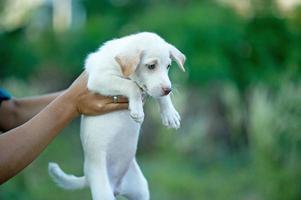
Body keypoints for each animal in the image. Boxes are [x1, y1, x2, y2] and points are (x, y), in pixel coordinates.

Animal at [48, 32, 184, 200]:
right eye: (151, 66)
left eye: (168, 66)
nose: (168, 89)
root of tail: (117, 185)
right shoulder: (100, 78)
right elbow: (130, 86)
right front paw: (137, 110)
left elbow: (158, 95)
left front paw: (170, 114)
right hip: (103, 192)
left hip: (141, 190)